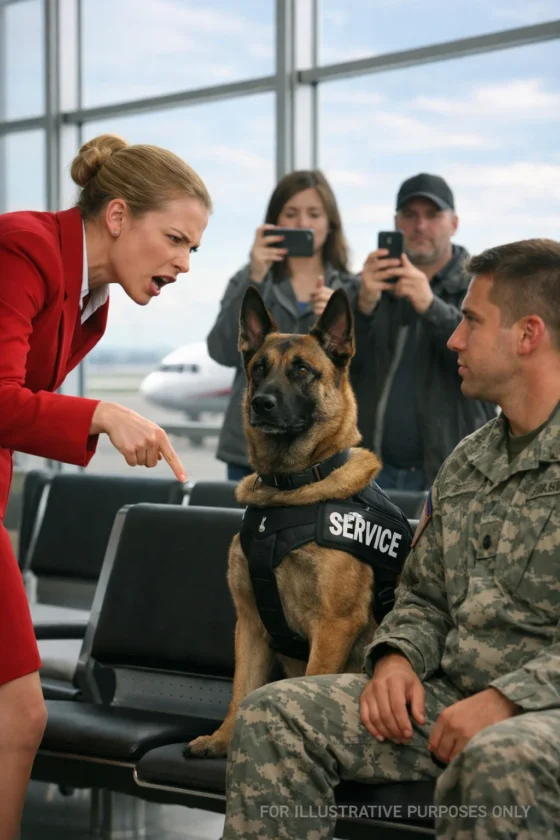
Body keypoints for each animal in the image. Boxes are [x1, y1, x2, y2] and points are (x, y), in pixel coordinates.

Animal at [186, 286, 412, 758]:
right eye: (259, 369)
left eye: (303, 370)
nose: (261, 403)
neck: (290, 491)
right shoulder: (250, 624)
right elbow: (240, 690)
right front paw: (223, 739)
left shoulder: (333, 626)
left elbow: (305, 685)